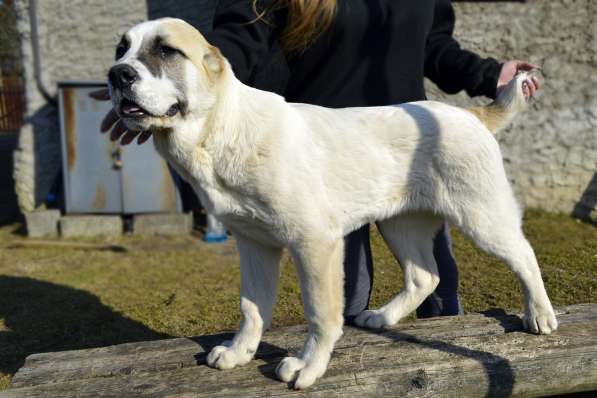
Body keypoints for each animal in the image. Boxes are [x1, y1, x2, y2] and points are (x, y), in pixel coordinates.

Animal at [108, 18, 560, 388]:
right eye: (121, 50)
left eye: (166, 51)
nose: (117, 75)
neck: (222, 128)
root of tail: (470, 115)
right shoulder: (254, 244)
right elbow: (252, 308)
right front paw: (239, 353)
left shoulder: (315, 243)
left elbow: (321, 314)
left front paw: (308, 366)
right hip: (400, 223)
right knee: (424, 276)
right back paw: (382, 318)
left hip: (481, 215)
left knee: (523, 254)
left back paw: (539, 314)